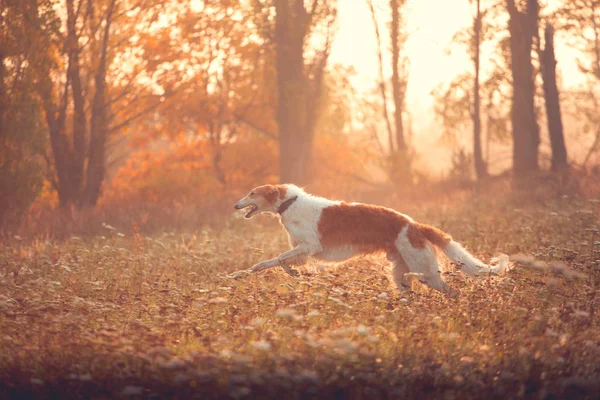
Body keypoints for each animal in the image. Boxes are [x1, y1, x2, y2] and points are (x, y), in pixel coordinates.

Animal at [233, 184, 506, 294]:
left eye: (252, 193)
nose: (235, 205)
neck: (289, 203)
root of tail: (416, 226)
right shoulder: (302, 250)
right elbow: (268, 263)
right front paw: (239, 274)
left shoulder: (310, 245)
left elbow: (280, 259)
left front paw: (294, 273)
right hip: (402, 276)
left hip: (425, 273)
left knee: (453, 291)